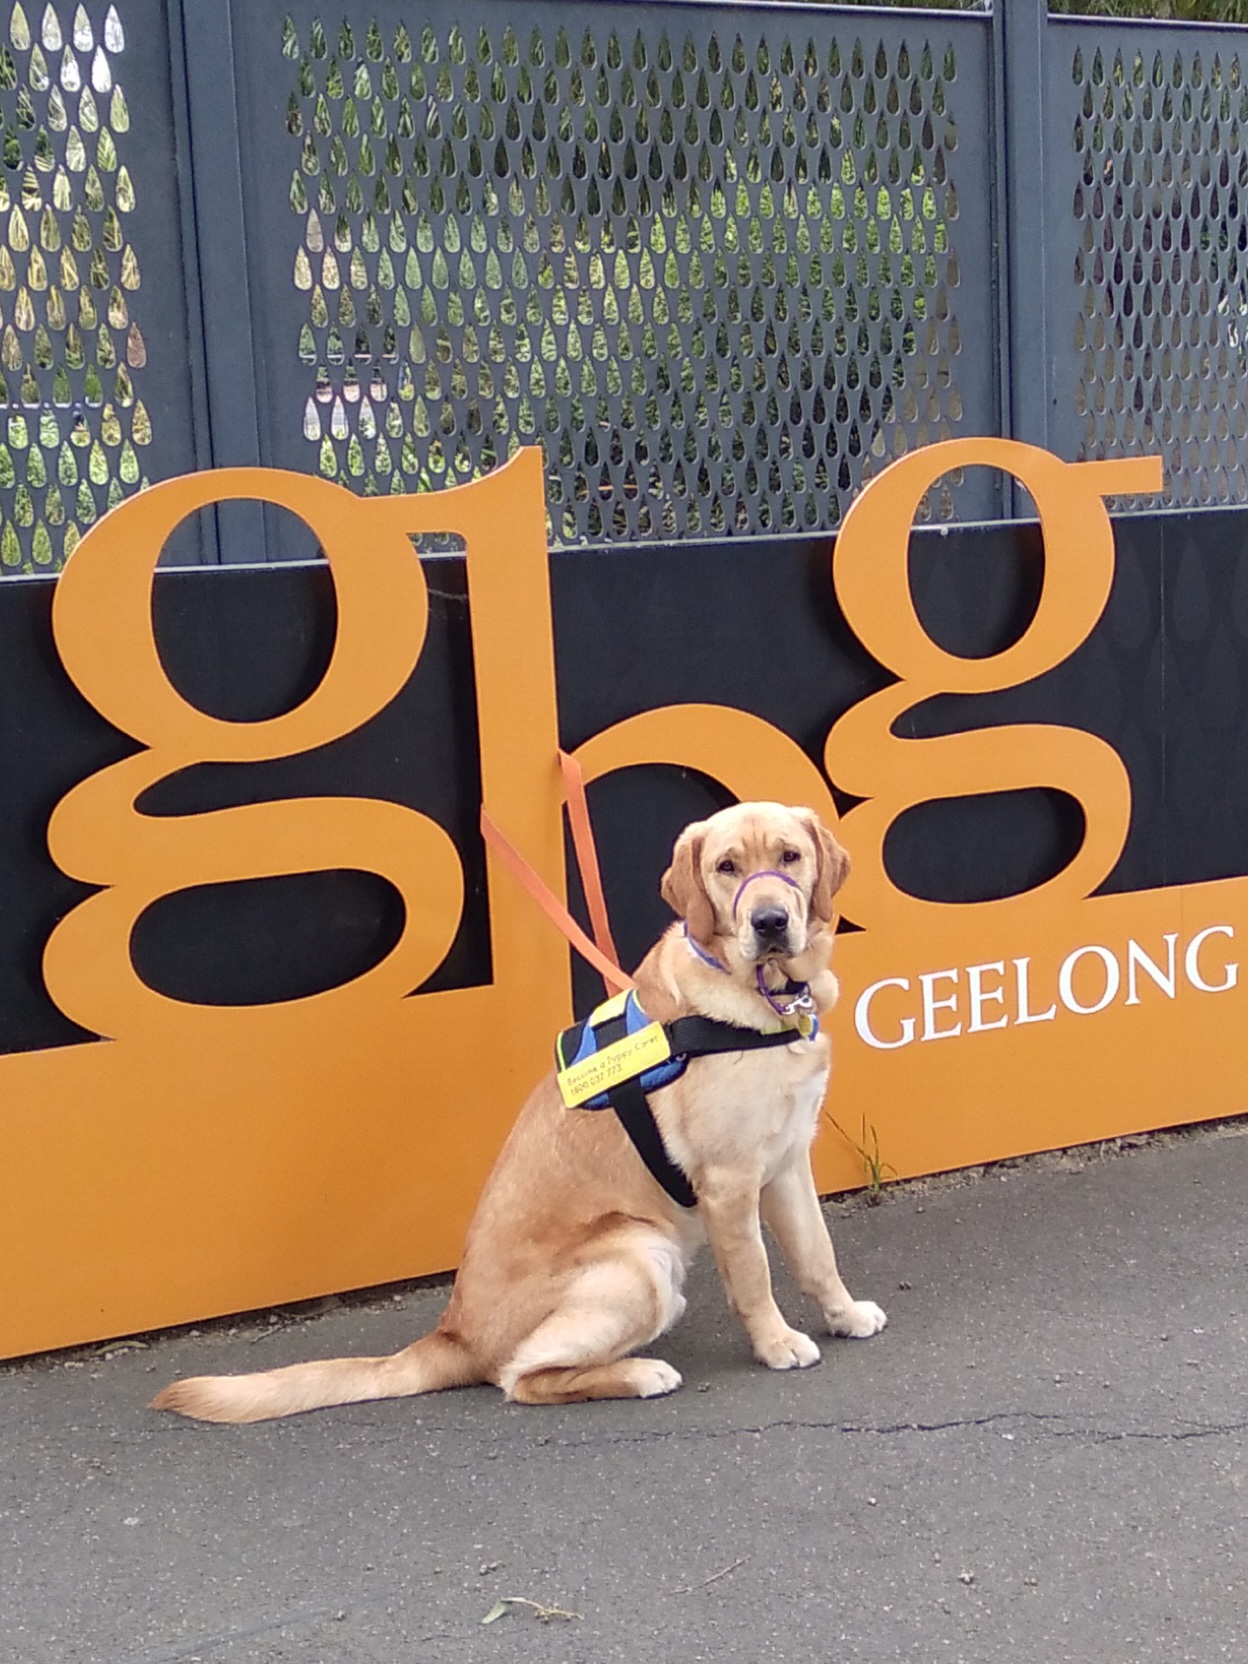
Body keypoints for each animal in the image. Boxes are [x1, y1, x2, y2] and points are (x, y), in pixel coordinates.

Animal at [153, 798, 891, 1424]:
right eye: (727, 867)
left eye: (790, 857)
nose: (769, 921)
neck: (764, 1000)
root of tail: (452, 1334)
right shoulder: (729, 1183)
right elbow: (756, 1275)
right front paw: (777, 1343)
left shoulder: (787, 1161)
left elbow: (816, 1254)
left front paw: (843, 1314)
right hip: (638, 1253)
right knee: (521, 1379)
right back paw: (638, 1373)